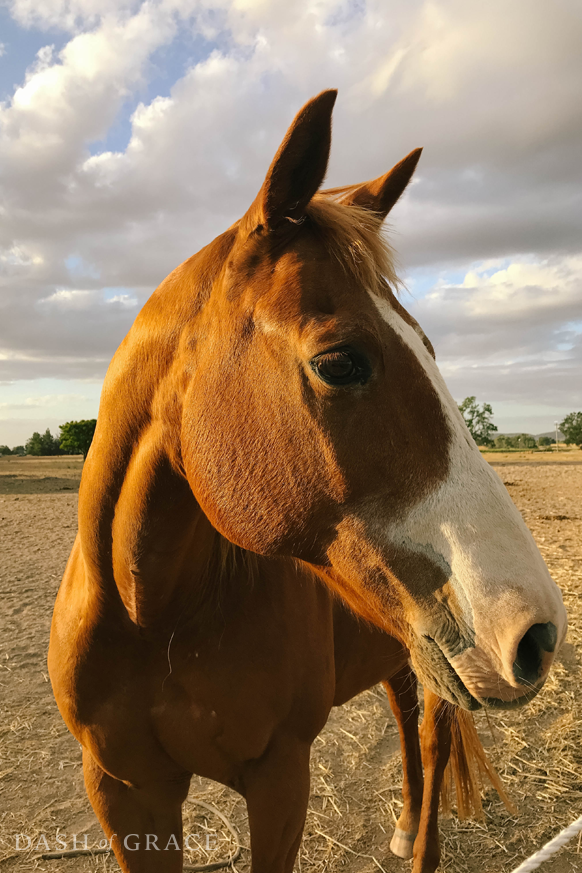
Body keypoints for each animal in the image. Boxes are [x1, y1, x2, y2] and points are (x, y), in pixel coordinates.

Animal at [48, 90, 568, 872]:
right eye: (339, 361)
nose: (538, 633)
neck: (155, 617)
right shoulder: (124, 792)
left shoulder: (281, 775)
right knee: (406, 712)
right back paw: (404, 825)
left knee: (432, 738)